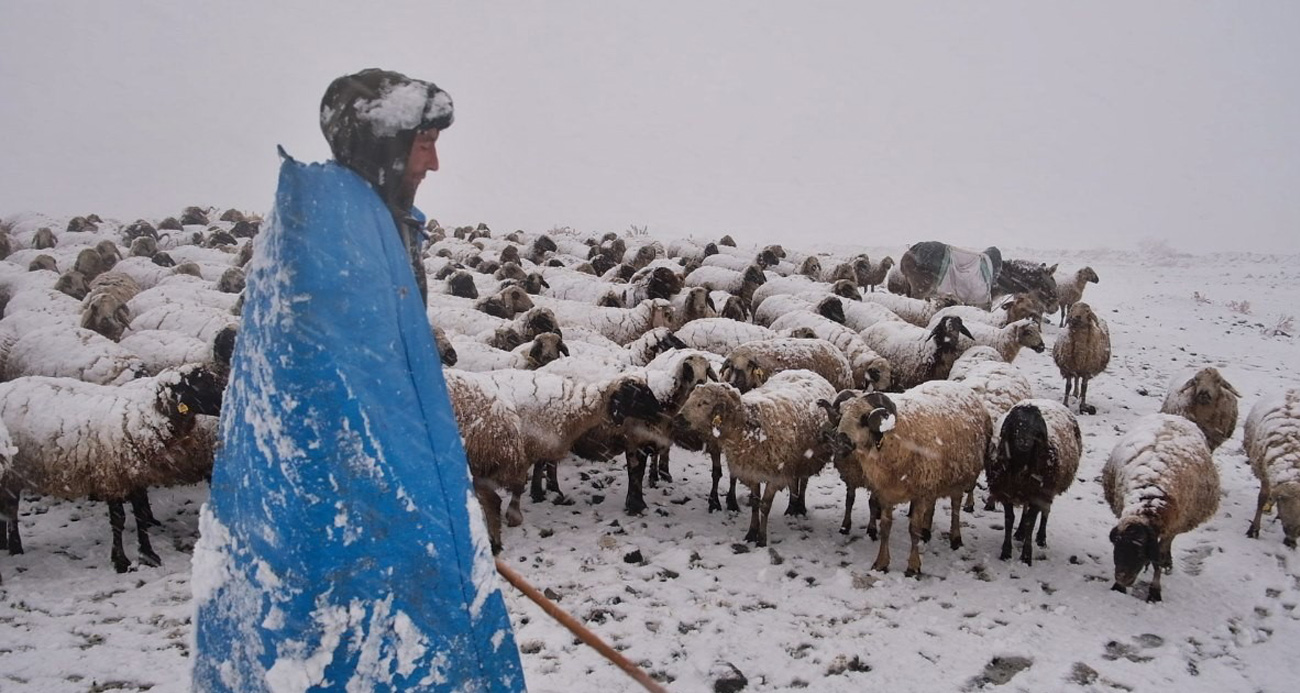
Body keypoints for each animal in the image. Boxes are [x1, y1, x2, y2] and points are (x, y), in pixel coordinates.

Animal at [0, 364, 226, 569]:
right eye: (201, 385)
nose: (227, 400)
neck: (140, 420)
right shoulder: (111, 478)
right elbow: (119, 520)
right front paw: (120, 561)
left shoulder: (135, 476)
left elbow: (140, 516)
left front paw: (148, 554)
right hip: (13, 472)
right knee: (11, 508)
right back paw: (15, 547)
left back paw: (4, 545)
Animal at [832, 377, 993, 572]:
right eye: (840, 414)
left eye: (864, 418)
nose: (841, 442)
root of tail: (966, 389)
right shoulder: (886, 492)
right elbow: (885, 527)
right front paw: (881, 562)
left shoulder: (920, 492)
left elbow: (913, 529)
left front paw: (913, 566)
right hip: (935, 478)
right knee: (933, 504)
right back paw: (927, 531)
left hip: (959, 474)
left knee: (955, 506)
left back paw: (955, 538)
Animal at [1102, 410, 1222, 600]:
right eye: (1117, 547)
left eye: (1139, 552)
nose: (1122, 579)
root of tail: (1172, 415)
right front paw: (1118, 587)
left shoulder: (1170, 526)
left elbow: (1158, 559)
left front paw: (1155, 591)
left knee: (1168, 546)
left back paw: (1167, 561)